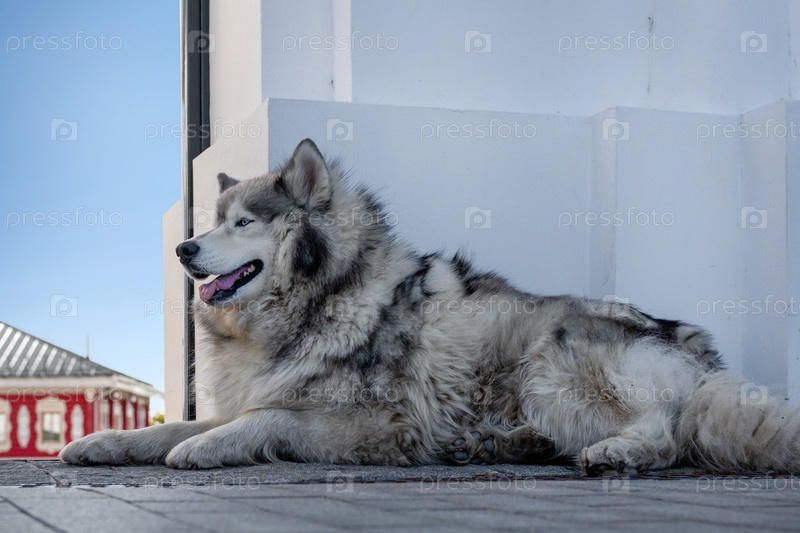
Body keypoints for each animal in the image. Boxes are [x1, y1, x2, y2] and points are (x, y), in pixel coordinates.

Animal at [60, 139, 800, 474]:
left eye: (243, 223)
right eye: (212, 221)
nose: (184, 248)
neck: (324, 298)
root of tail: (701, 361)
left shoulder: (381, 423)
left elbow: (260, 419)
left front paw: (207, 447)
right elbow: (168, 428)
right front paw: (105, 442)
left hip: (550, 358)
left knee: (666, 433)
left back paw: (617, 451)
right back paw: (508, 442)